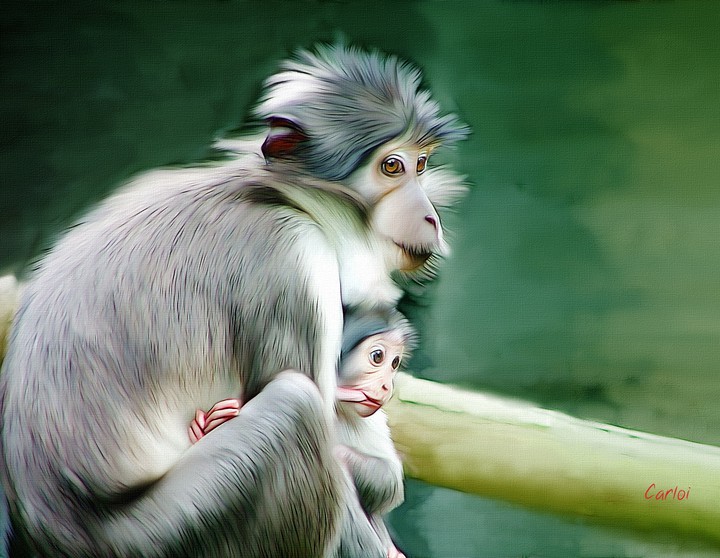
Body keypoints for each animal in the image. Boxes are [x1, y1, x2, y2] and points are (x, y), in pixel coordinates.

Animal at [189, 309, 414, 558]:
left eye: (395, 363)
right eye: (377, 357)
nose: (387, 386)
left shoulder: (375, 421)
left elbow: (390, 479)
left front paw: (337, 454)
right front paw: (207, 426)